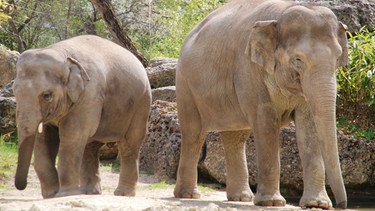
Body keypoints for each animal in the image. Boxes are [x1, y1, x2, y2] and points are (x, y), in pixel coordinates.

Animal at [13, 34, 151, 198]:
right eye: (14, 92)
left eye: (47, 95)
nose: (22, 186)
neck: (61, 53)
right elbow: (44, 139)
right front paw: (51, 195)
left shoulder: (89, 93)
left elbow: (72, 135)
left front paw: (65, 194)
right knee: (90, 146)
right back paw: (90, 193)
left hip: (141, 103)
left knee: (128, 144)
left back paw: (122, 194)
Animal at [175, 0, 348, 209]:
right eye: (298, 59)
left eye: (338, 57)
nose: (342, 204)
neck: (281, 15)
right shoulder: (249, 70)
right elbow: (265, 123)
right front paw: (272, 203)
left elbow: (310, 126)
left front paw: (317, 204)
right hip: (185, 85)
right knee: (194, 133)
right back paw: (188, 195)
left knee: (235, 137)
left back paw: (241, 198)